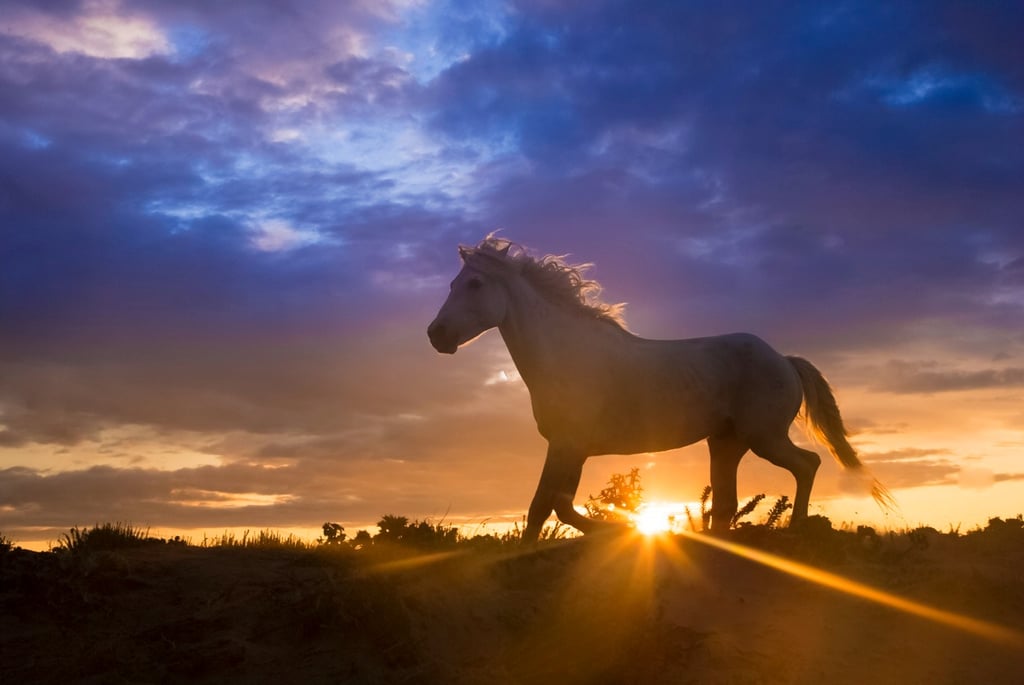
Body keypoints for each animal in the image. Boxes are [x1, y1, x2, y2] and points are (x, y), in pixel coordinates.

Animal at [427, 235, 892, 541]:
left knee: (807, 465)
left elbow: (548, 505)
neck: (568, 355)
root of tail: (784, 360)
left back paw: (796, 529)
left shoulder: (568, 446)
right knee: (727, 505)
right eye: (451, 285)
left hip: (764, 437)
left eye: (474, 284)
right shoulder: (568, 448)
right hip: (727, 443)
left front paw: (615, 527)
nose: (437, 335)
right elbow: (550, 507)